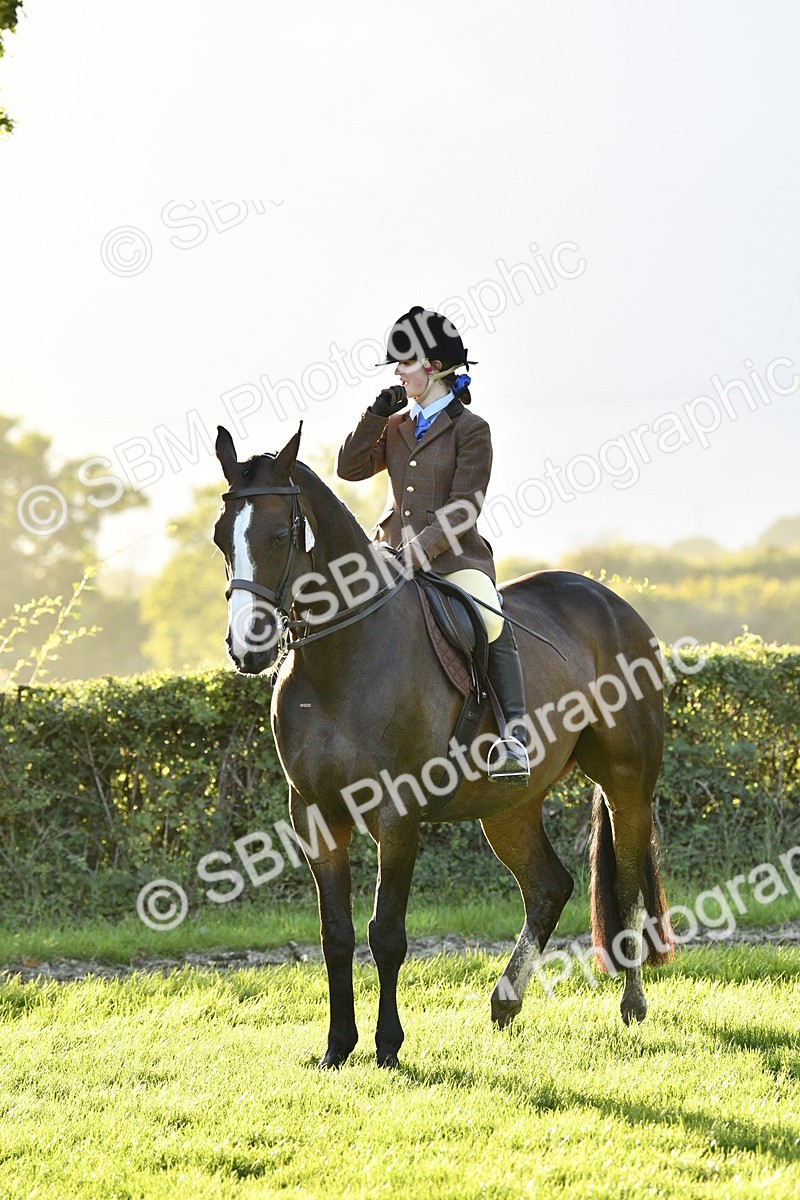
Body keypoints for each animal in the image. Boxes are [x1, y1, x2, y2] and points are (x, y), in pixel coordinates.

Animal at [213, 423, 673, 1069]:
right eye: (220, 539)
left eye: (280, 535)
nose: (247, 648)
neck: (341, 656)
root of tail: (612, 603)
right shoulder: (314, 815)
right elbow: (337, 935)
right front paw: (337, 1047)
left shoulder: (397, 813)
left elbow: (386, 934)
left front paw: (386, 1046)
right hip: (509, 806)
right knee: (548, 886)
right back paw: (505, 1001)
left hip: (627, 782)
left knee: (627, 880)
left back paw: (631, 1004)